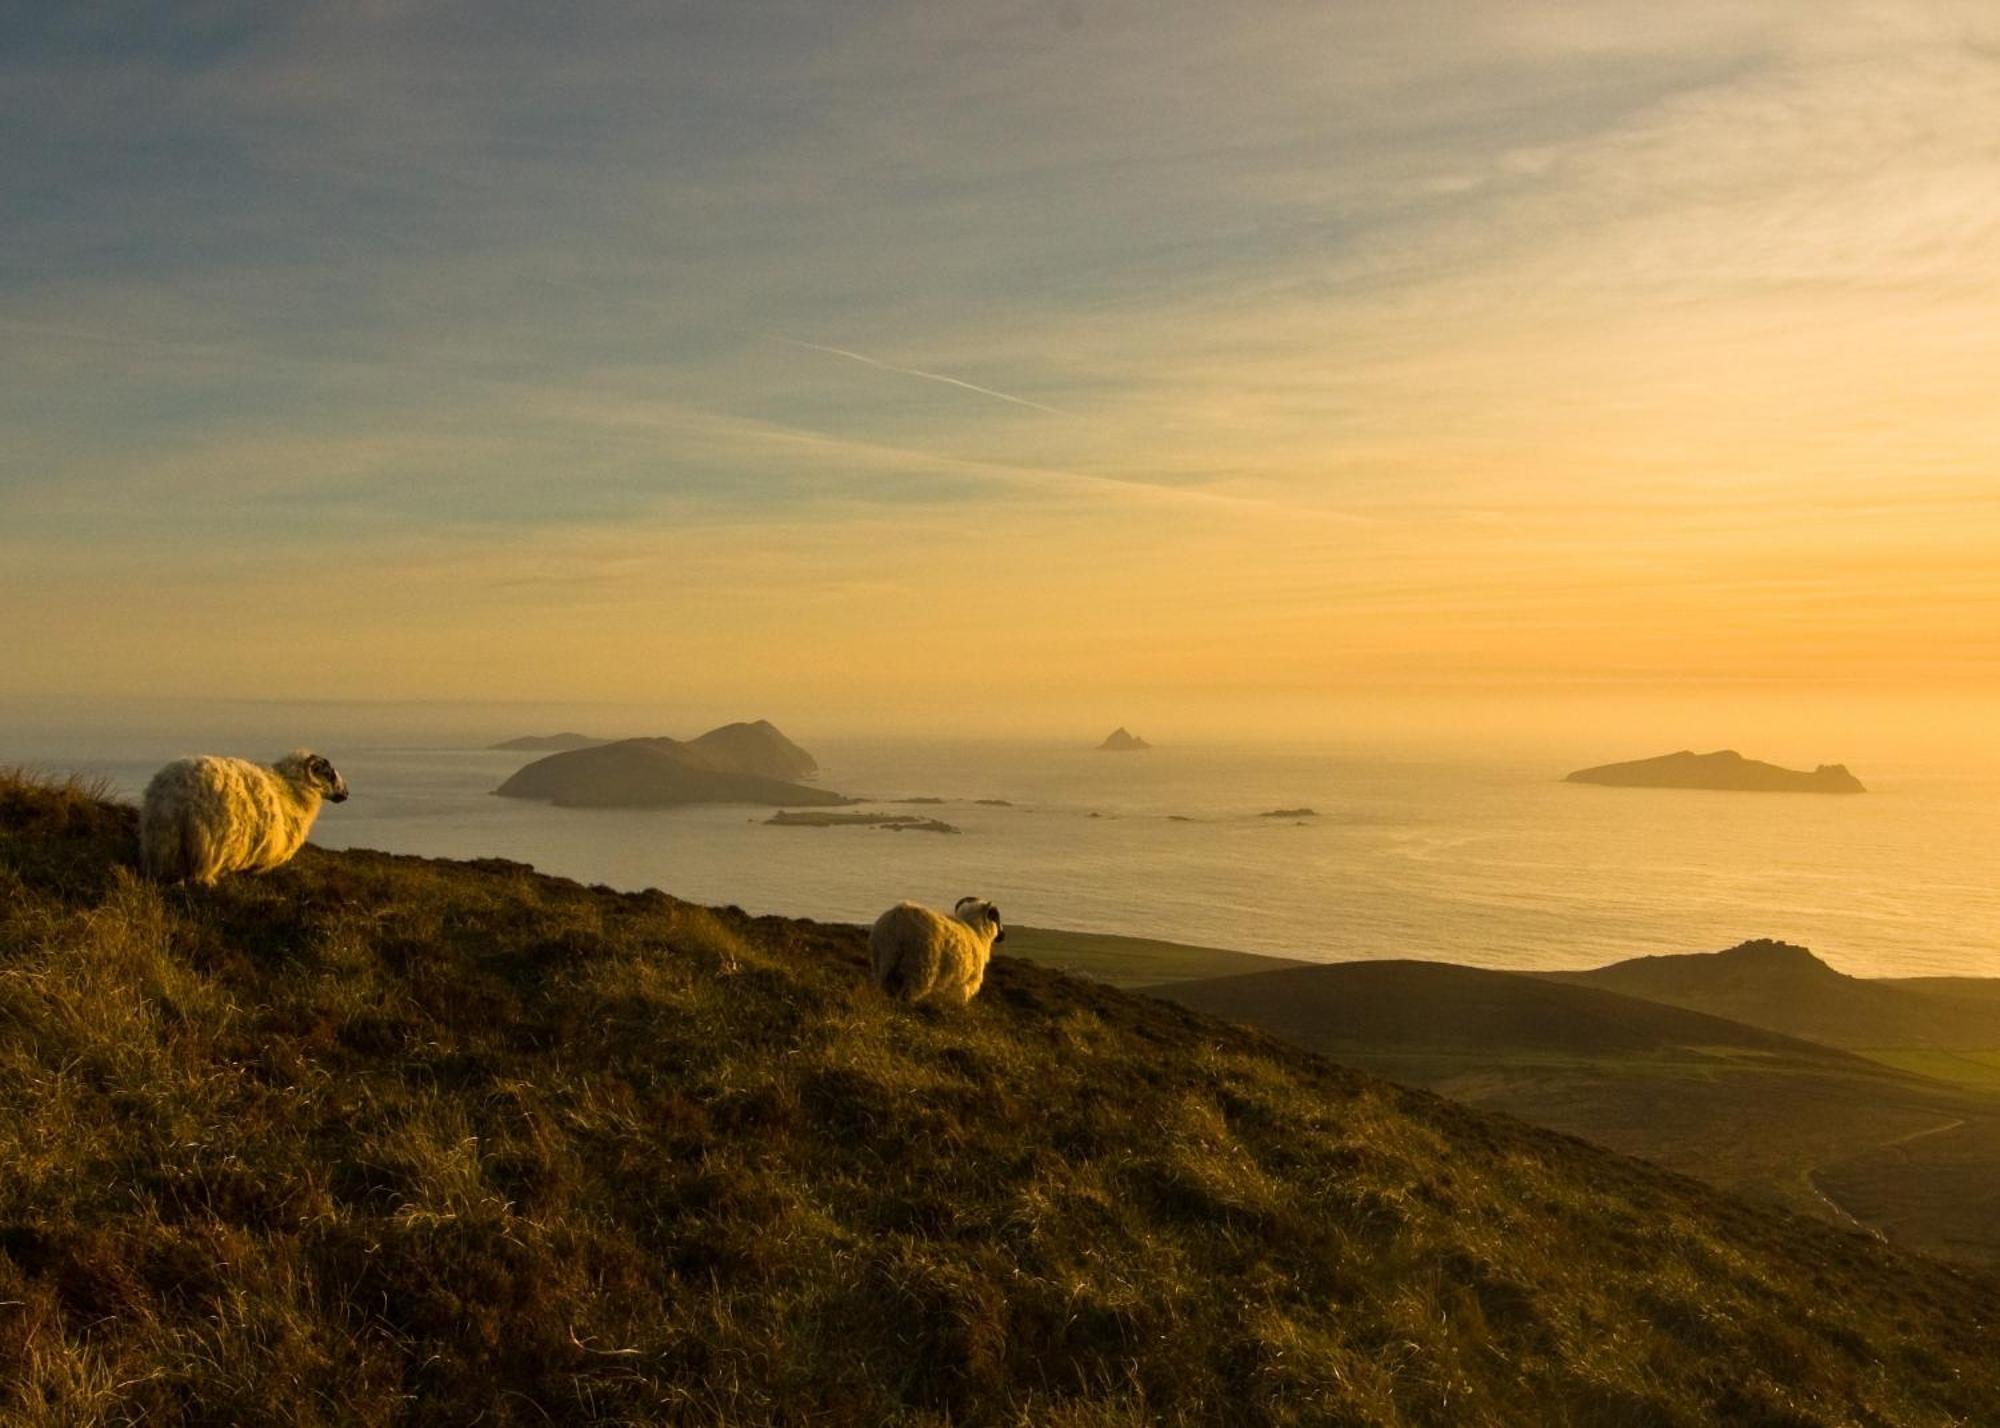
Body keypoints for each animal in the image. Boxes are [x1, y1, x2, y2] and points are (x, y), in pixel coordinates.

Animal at [143, 744, 354, 880]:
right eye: (328, 773)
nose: (346, 793)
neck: (291, 788)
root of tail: (171, 801)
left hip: (164, 846)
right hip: (205, 848)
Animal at [872, 896, 1008, 1008]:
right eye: (995, 917)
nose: (1003, 935)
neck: (977, 932)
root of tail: (897, 921)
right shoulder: (966, 983)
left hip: (883, 963)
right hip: (920, 970)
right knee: (908, 995)